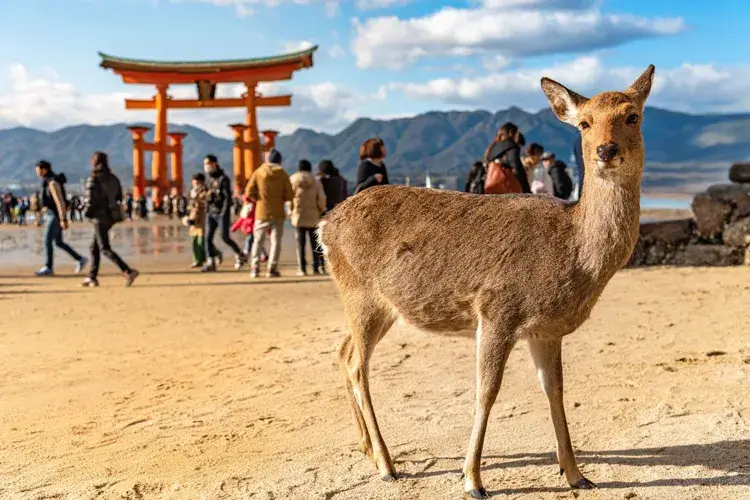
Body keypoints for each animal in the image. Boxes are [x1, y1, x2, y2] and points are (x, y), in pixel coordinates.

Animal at [320, 64, 656, 498]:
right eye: (584, 123)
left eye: (633, 116)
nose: (606, 150)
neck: (574, 253)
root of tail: (324, 226)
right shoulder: (498, 309)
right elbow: (487, 391)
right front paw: (472, 480)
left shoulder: (546, 330)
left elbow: (556, 390)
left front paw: (576, 474)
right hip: (360, 294)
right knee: (358, 366)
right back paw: (386, 465)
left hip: (382, 307)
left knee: (343, 352)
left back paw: (366, 449)